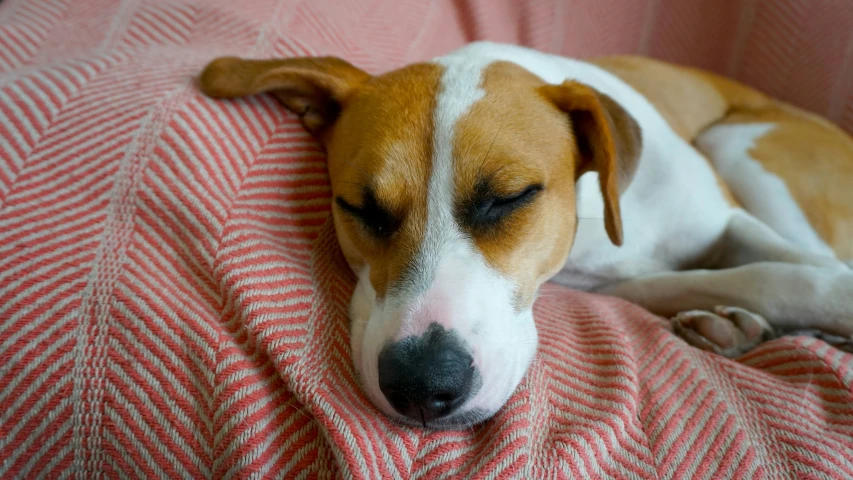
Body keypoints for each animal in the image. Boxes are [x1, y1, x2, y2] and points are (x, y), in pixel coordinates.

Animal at [200, 43, 852, 430]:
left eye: (510, 197)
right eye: (361, 208)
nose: (421, 386)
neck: (595, 214)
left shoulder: (728, 221)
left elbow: (791, 269)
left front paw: (830, 300)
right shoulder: (614, 287)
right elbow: (743, 277)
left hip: (737, 143)